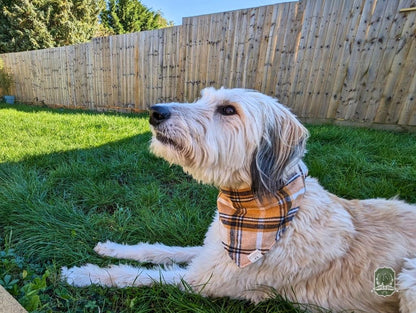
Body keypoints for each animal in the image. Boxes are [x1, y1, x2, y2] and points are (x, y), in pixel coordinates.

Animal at [61, 87, 416, 312]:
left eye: (228, 110)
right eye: (202, 98)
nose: (154, 112)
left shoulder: (202, 280)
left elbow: (135, 275)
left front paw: (83, 274)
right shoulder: (211, 249)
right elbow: (158, 250)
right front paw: (111, 247)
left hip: (408, 278)